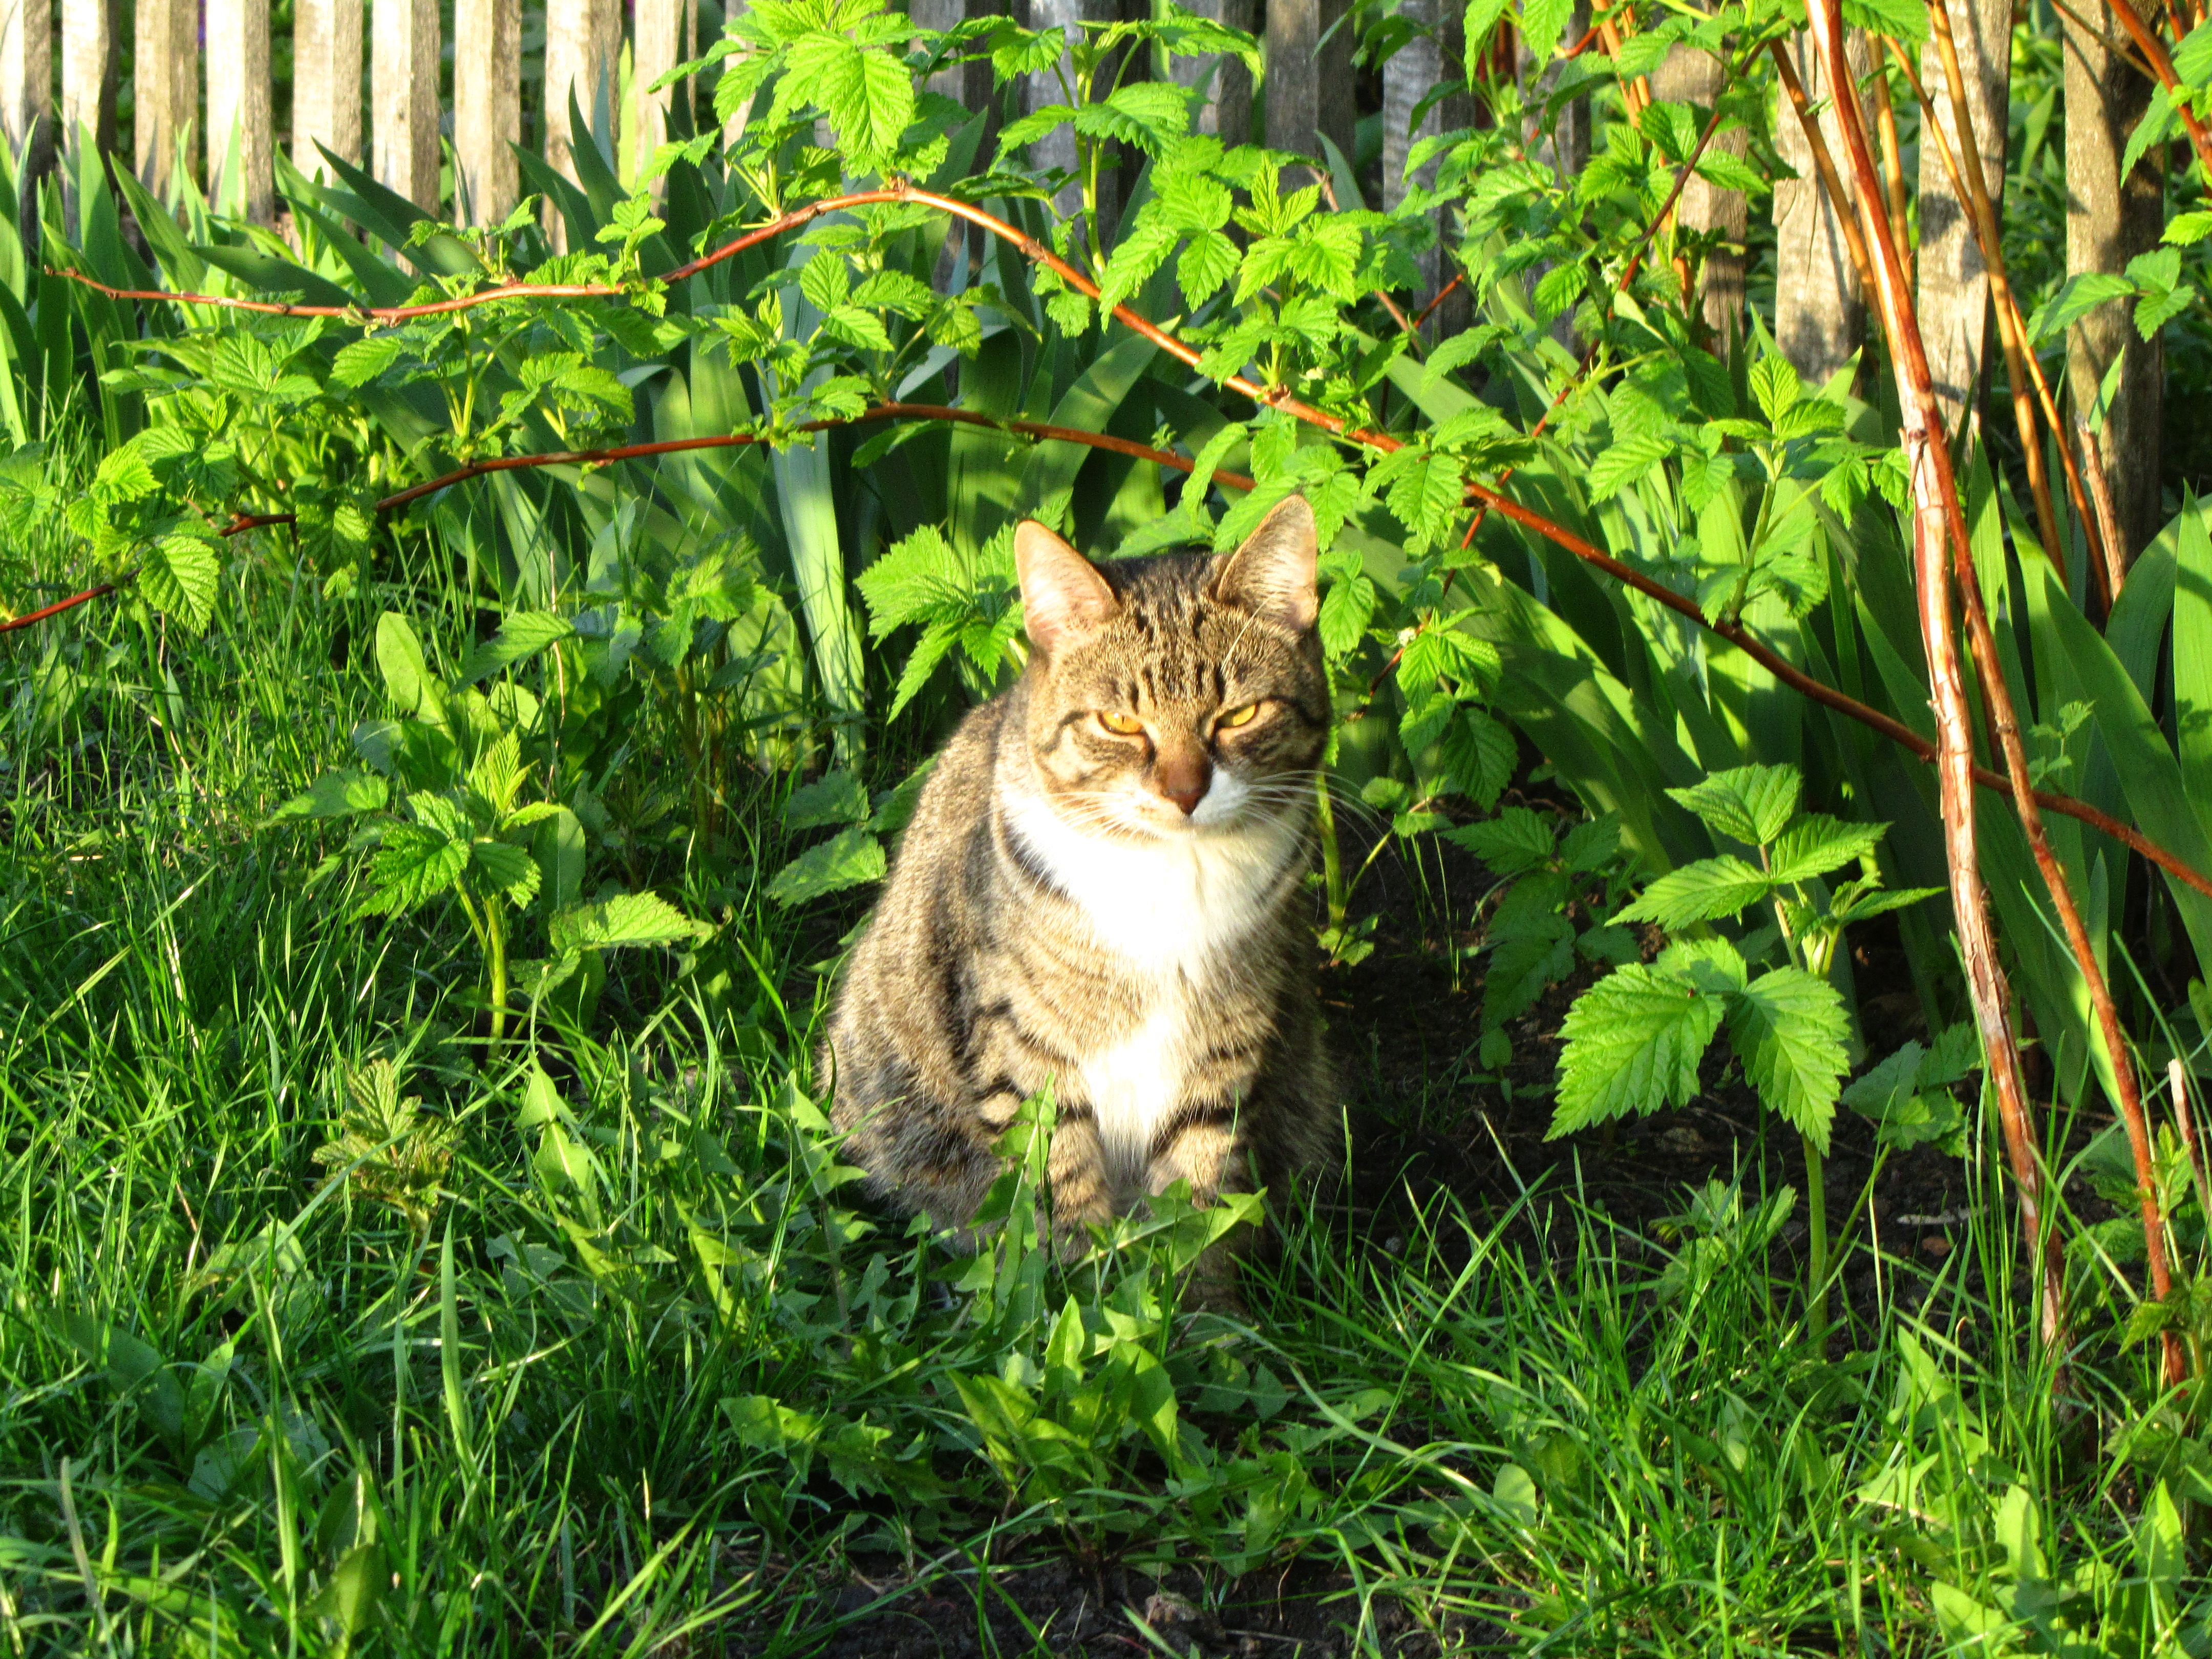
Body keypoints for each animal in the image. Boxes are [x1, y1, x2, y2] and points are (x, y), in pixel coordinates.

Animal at [827, 493, 1327, 1301]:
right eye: (1120, 722)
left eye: (1239, 716)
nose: (1185, 791)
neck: (1171, 879)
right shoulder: (1024, 1046)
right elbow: (1057, 1184)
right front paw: (1078, 1293)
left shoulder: (1229, 1039)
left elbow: (1195, 1194)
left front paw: (1199, 1313)